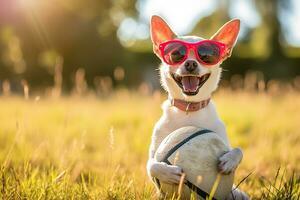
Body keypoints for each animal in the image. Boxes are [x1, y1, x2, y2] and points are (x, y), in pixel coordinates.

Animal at [147, 14, 248, 199]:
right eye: (176, 54)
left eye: (206, 55)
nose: (191, 63)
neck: (189, 107)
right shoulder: (152, 158)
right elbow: (152, 165)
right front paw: (167, 172)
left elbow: (238, 150)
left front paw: (230, 160)